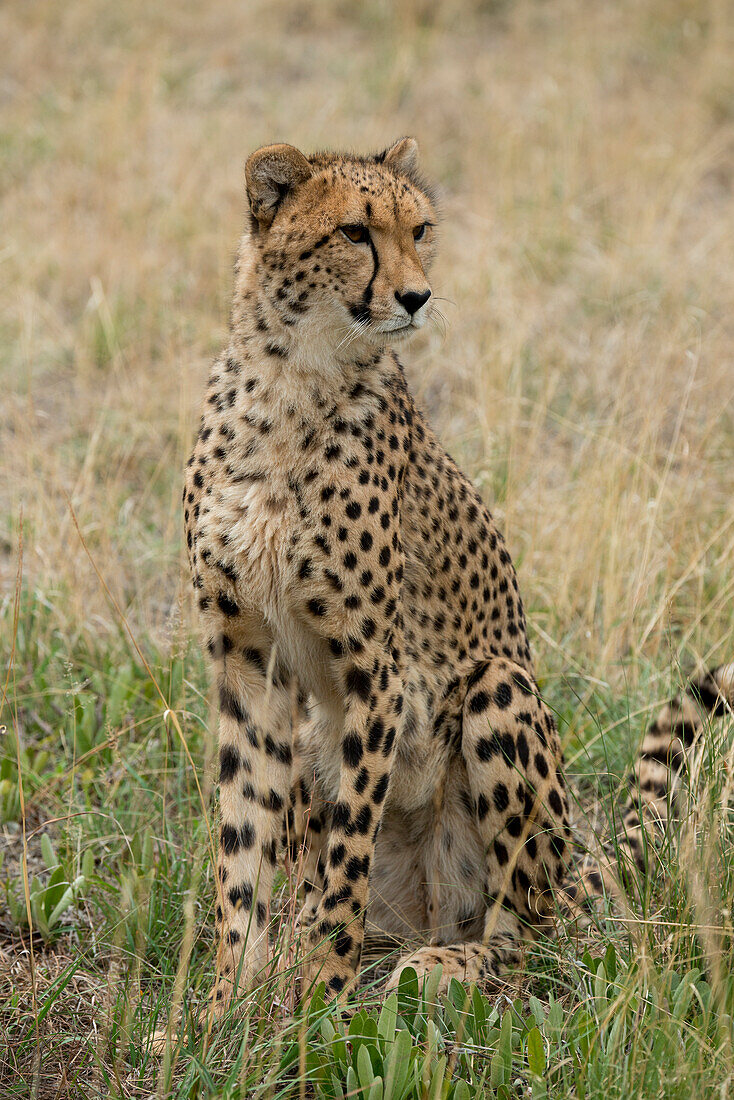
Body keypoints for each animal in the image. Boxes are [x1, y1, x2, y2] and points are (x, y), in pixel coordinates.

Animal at [182, 137, 734, 1012]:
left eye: (420, 229)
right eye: (354, 232)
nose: (416, 296)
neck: (293, 377)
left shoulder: (375, 671)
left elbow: (347, 855)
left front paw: (323, 1001)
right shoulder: (245, 659)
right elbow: (244, 840)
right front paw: (225, 1003)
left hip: (498, 694)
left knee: (529, 934)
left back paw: (447, 965)